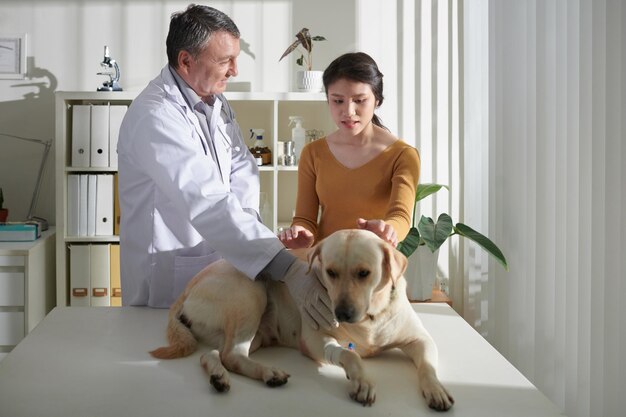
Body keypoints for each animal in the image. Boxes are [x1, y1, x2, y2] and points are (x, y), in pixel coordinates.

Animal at [151, 228, 454, 410]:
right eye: (330, 272)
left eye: (364, 273)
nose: (341, 314)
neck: (370, 317)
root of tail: (188, 287)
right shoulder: (314, 339)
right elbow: (349, 354)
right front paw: (362, 381)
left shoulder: (420, 339)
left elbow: (427, 366)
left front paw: (436, 389)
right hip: (251, 292)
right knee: (232, 354)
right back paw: (268, 373)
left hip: (255, 333)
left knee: (217, 354)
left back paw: (219, 375)